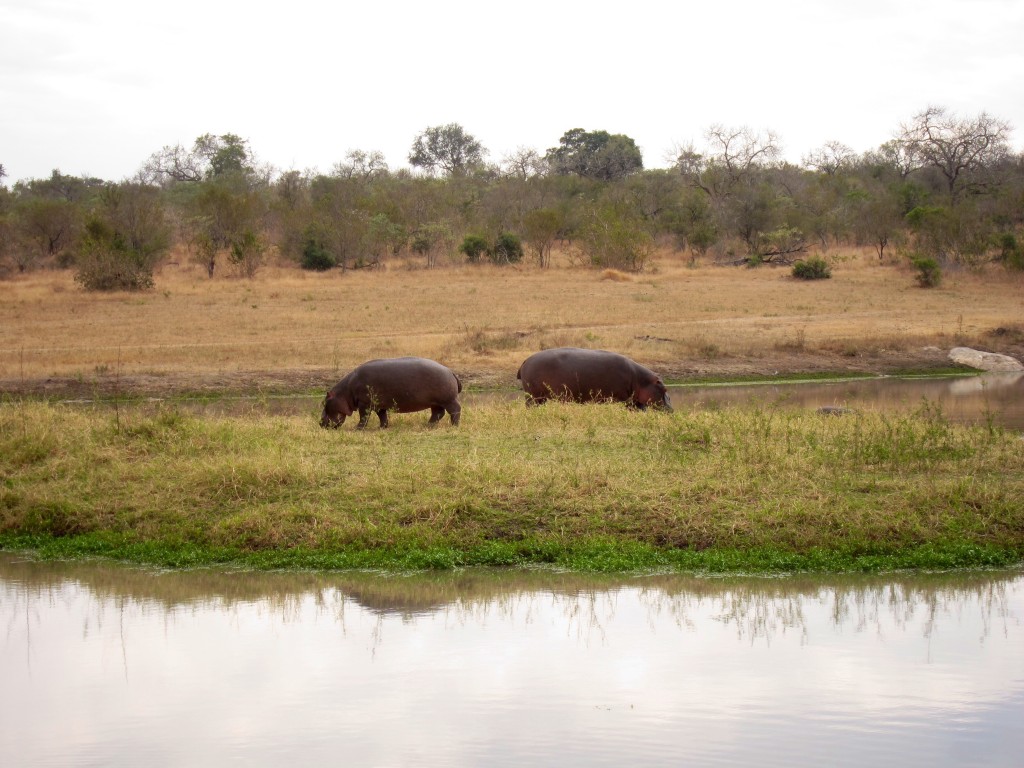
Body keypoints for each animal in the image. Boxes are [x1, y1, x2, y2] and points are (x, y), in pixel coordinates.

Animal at [321, 358, 462, 430]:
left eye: (325, 402)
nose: (320, 423)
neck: (345, 392)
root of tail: (450, 371)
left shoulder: (364, 403)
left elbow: (364, 416)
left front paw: (358, 428)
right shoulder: (379, 405)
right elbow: (382, 416)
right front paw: (382, 427)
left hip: (448, 400)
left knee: (455, 410)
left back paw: (454, 426)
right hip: (436, 402)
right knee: (438, 413)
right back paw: (428, 426)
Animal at [520, 348, 671, 411]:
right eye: (664, 389)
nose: (671, 410)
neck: (642, 380)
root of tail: (526, 360)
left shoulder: (634, 400)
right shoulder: (624, 398)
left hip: (540, 398)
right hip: (533, 397)